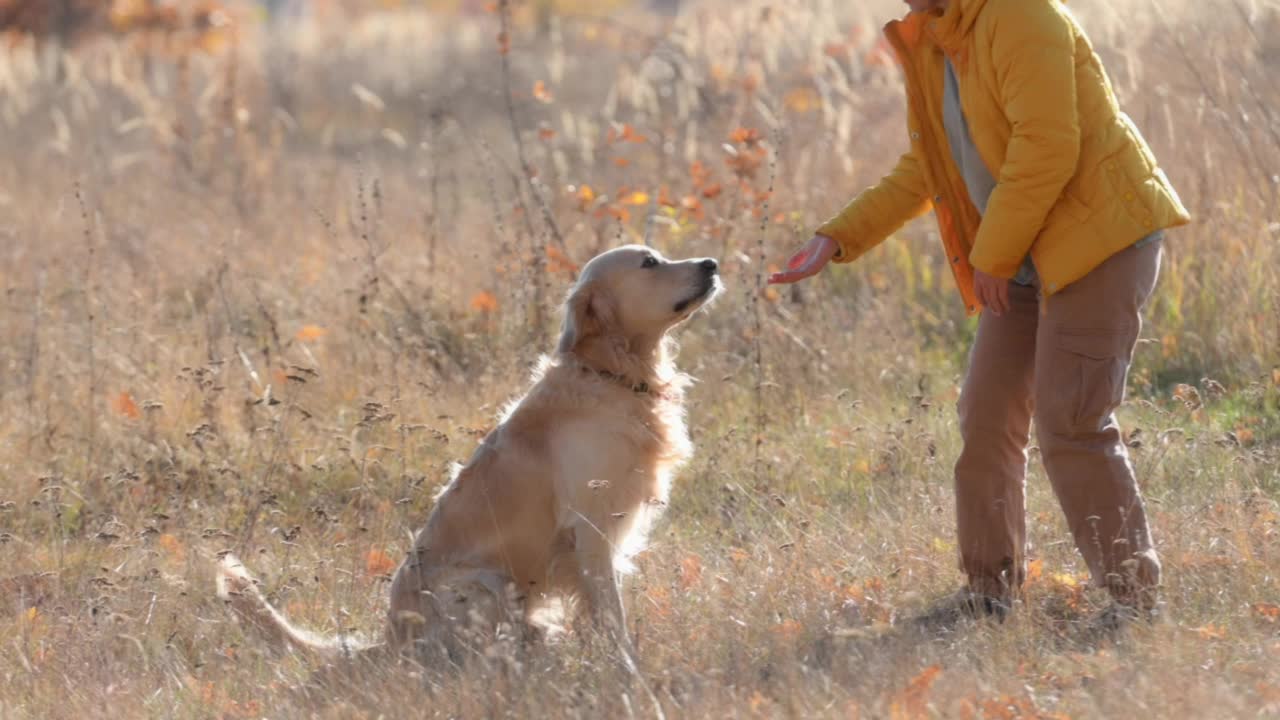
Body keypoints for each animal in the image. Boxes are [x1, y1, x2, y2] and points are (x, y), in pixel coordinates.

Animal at [218, 243, 721, 666]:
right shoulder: (591, 529)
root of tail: (389, 639)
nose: (712, 263)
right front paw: (627, 666)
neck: (610, 373)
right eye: (649, 263)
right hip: (486, 582)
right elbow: (611, 613)